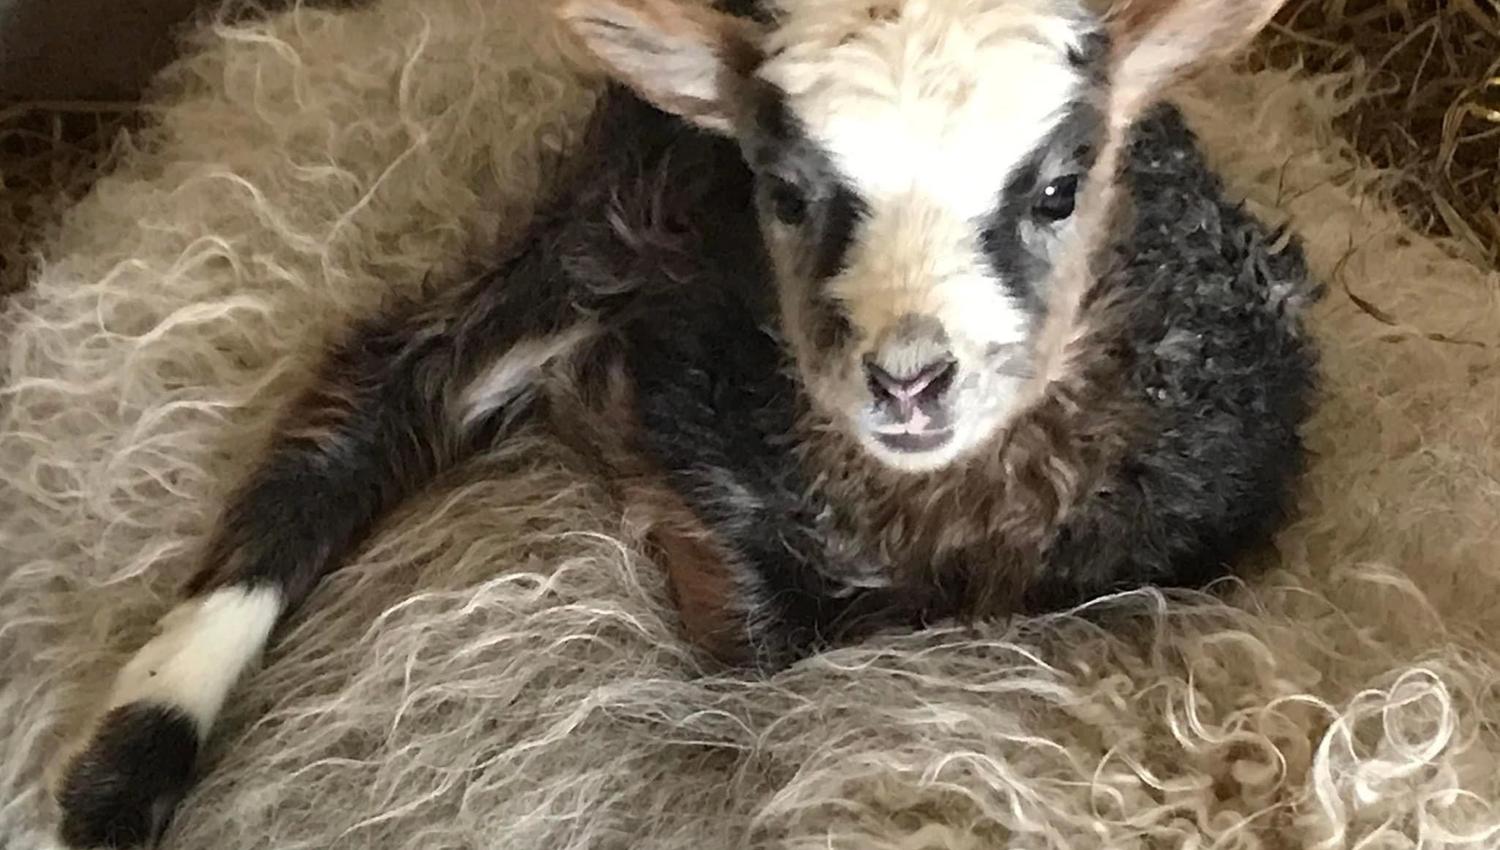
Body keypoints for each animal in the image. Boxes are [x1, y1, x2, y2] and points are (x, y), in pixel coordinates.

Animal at [51, 0, 1321, 845]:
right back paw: (125, 767)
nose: (909, 377)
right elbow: (746, 625)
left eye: (1062, 186)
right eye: (787, 190)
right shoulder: (681, 396)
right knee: (380, 391)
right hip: (604, 227)